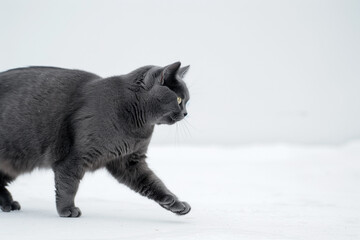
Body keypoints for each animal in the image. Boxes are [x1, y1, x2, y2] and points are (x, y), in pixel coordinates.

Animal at [0, 62, 191, 218]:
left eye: (187, 100)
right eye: (179, 99)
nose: (186, 113)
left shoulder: (130, 161)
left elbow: (153, 183)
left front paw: (175, 203)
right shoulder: (75, 157)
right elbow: (68, 184)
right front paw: (67, 209)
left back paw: (9, 204)